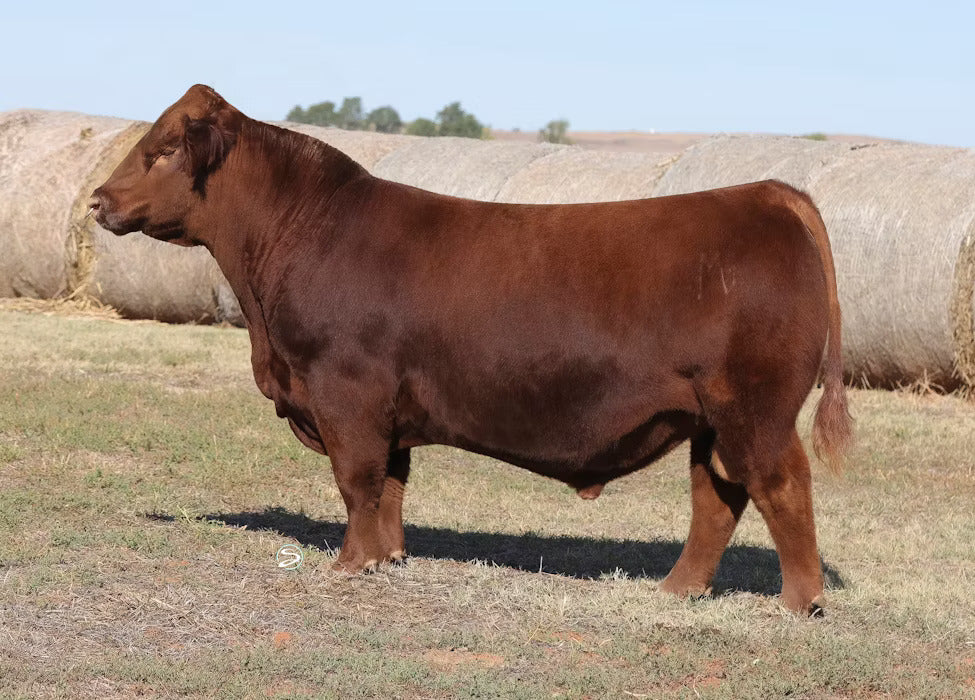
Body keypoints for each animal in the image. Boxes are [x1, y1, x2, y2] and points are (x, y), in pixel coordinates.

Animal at [89, 85, 852, 615]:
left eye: (161, 150)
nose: (97, 200)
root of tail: (768, 193)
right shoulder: (387, 407)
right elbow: (390, 486)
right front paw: (388, 558)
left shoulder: (345, 391)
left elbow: (356, 481)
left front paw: (350, 565)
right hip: (710, 419)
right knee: (716, 497)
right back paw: (677, 590)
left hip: (753, 408)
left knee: (780, 484)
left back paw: (800, 602)